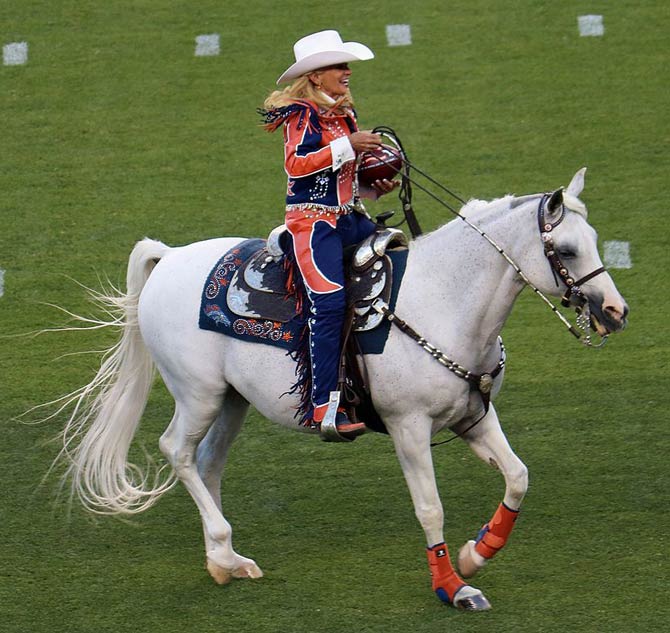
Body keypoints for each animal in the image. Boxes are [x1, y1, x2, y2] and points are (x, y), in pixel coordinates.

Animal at [56, 168, 632, 608]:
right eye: (566, 249)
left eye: (594, 242)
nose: (615, 311)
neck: (442, 301)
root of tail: (170, 257)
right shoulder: (408, 427)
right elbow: (430, 508)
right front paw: (453, 588)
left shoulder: (474, 416)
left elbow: (517, 477)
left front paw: (477, 553)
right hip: (198, 395)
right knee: (176, 450)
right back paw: (221, 544)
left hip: (232, 401)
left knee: (207, 462)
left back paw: (224, 561)